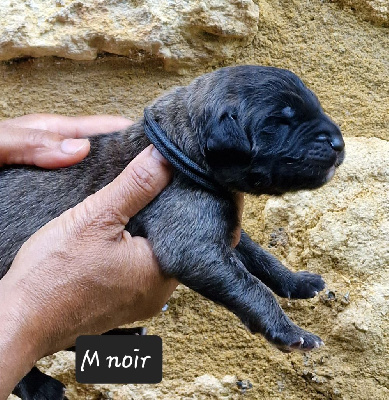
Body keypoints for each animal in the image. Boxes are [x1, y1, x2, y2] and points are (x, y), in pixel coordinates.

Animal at [1, 65, 344, 396]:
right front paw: (290, 332)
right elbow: (253, 289)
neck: (182, 146)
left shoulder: (225, 231)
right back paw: (41, 387)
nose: (339, 144)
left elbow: (262, 258)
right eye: (280, 121)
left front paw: (297, 282)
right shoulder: (194, 245)